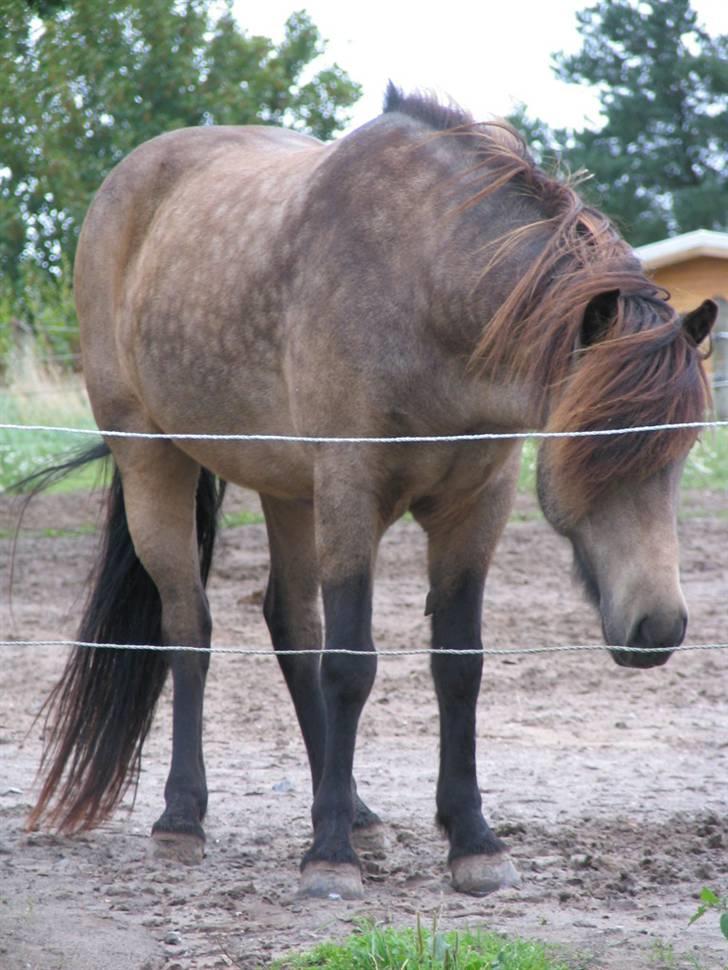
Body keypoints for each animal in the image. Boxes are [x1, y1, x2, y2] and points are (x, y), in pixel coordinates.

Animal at [24, 85, 716, 900]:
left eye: (684, 448)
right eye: (591, 448)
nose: (657, 628)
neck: (424, 283)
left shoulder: (474, 506)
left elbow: (458, 665)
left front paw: (471, 840)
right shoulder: (351, 492)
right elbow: (351, 666)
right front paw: (328, 858)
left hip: (290, 490)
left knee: (291, 625)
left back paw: (357, 814)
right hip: (153, 462)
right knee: (189, 628)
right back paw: (183, 820)